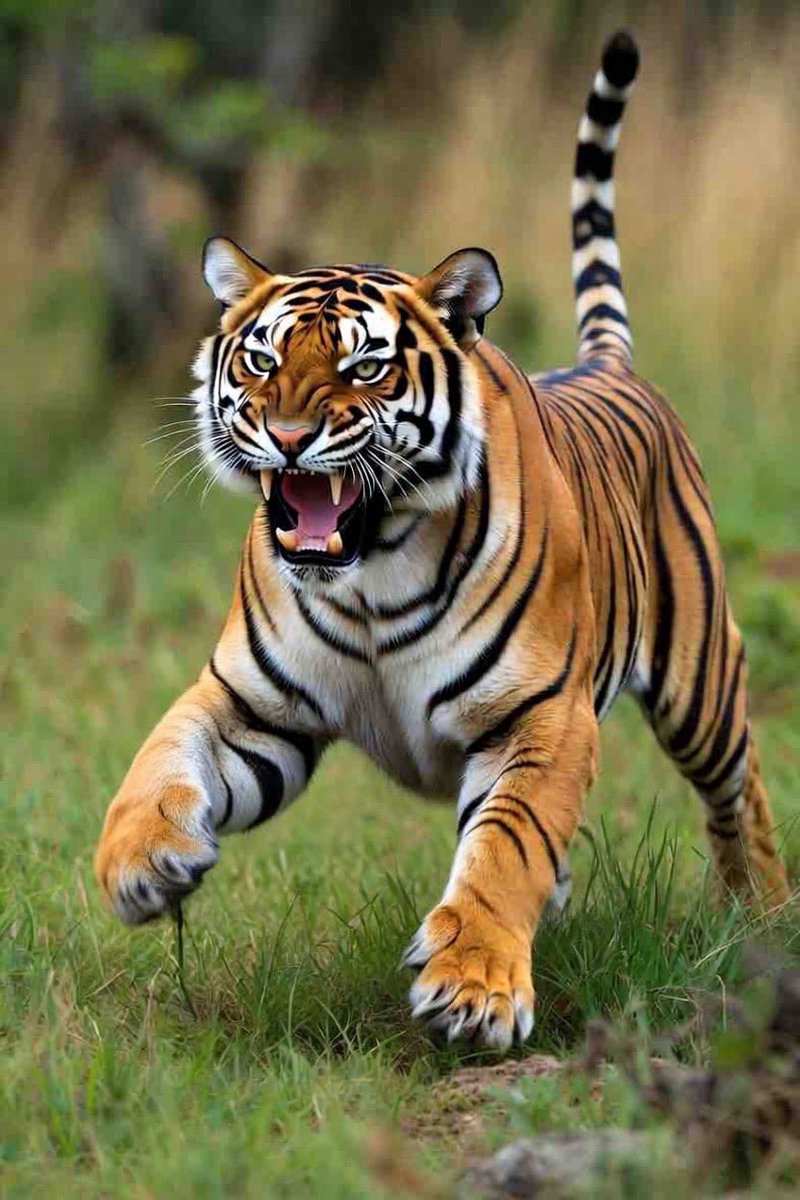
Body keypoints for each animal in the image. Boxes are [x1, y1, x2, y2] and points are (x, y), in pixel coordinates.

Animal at [95, 29, 789, 1051]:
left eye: (363, 368)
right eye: (260, 360)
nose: (288, 436)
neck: (369, 570)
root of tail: (608, 366)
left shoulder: (542, 717)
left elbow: (507, 848)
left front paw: (474, 989)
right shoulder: (254, 705)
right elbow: (159, 755)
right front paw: (139, 862)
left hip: (701, 682)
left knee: (739, 793)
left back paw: (764, 922)